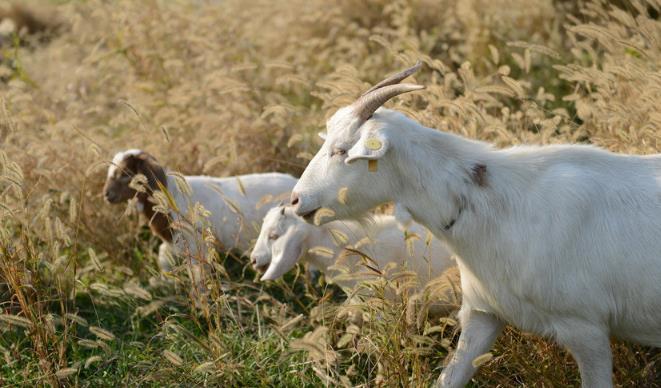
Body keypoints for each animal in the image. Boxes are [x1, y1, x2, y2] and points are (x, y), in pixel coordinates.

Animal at [292, 62, 660, 386]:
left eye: (342, 151)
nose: (296, 200)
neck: (503, 209)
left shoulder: (586, 329)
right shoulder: (483, 313)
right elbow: (449, 378)